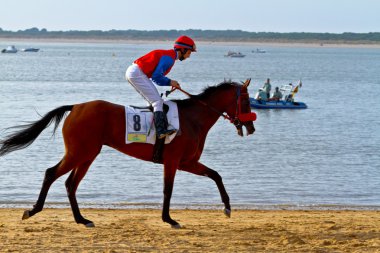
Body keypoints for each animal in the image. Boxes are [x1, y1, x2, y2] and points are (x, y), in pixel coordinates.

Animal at [0, 78, 256, 227]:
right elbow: (168, 190)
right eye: (246, 101)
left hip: (88, 154)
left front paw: (227, 207)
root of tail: (76, 107)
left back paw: (81, 219)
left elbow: (216, 175)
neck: (193, 119)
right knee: (51, 173)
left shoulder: (187, 162)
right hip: (79, 152)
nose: (251, 127)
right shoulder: (173, 161)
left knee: (70, 183)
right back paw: (33, 210)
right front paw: (169, 219)